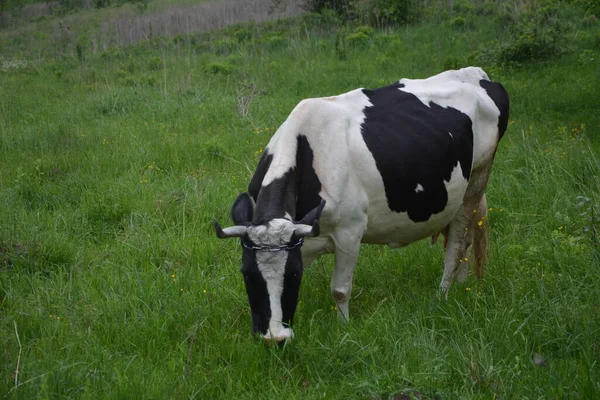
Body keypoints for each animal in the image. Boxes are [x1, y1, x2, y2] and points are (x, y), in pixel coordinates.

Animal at [213, 67, 508, 342]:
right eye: (247, 274)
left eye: (294, 275)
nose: (276, 338)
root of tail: (474, 73)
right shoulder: (301, 239)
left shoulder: (350, 231)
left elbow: (340, 290)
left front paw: (344, 329)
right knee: (465, 239)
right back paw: (462, 285)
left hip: (476, 181)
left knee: (456, 245)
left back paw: (442, 295)